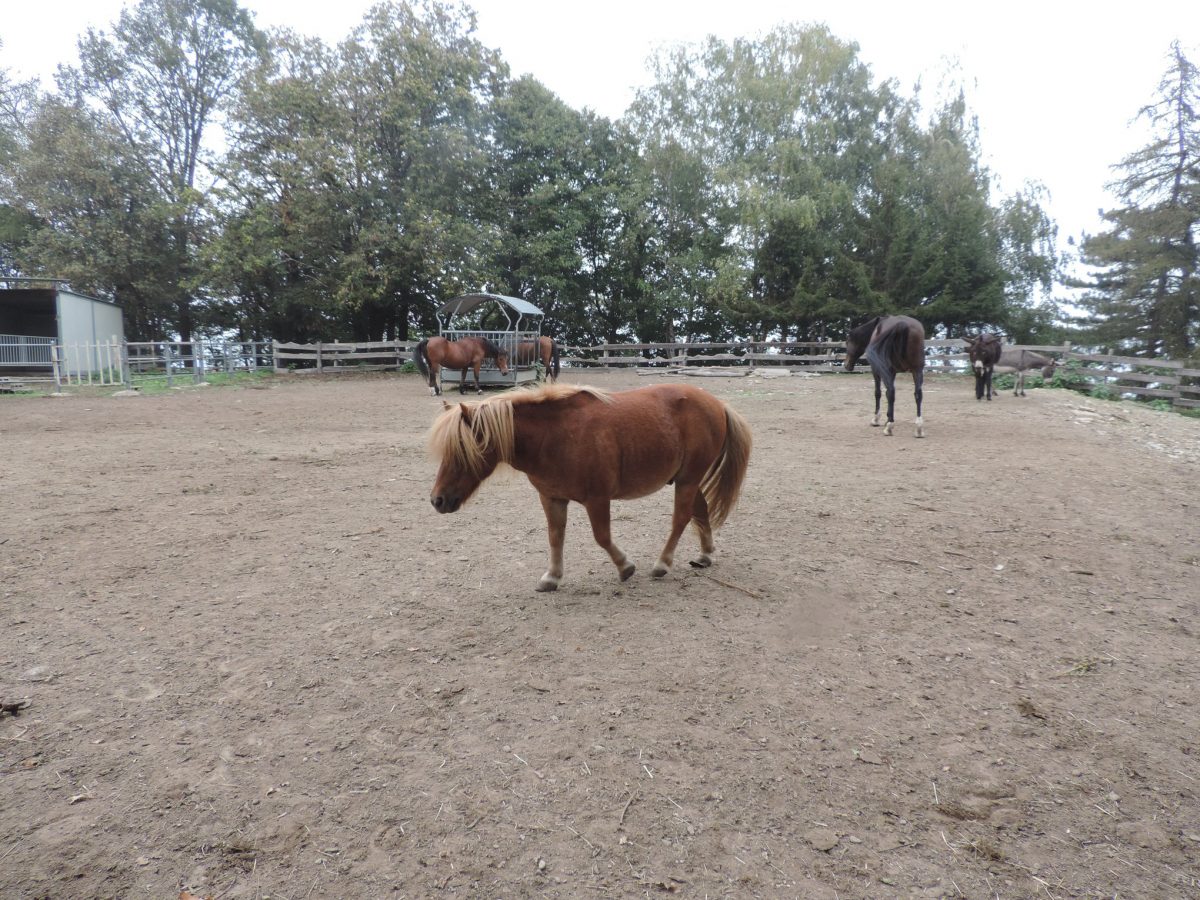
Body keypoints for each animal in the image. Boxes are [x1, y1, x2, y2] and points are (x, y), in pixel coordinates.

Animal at [427, 383, 752, 592]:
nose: (437, 500)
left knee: (681, 518)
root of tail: (718, 404)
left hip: (687, 480)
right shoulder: (552, 498)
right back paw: (705, 555)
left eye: (461, 450)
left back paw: (662, 563)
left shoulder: (597, 499)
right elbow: (555, 537)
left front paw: (625, 567)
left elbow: (602, 537)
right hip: (688, 479)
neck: (554, 436)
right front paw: (552, 577)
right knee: (700, 511)